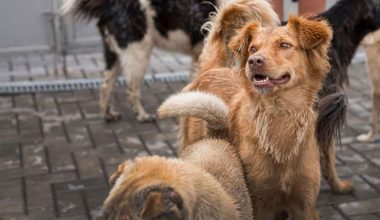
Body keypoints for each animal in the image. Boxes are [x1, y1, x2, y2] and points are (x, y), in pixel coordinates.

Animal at [60, 0, 278, 122]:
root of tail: (110, 5)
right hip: (137, 52)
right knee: (131, 88)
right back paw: (142, 115)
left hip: (114, 53)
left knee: (106, 84)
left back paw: (108, 114)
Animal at [159, 15, 334, 218]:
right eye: (253, 48)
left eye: (285, 45)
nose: (254, 61)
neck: (279, 115)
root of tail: (212, 69)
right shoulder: (257, 204)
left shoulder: (305, 205)